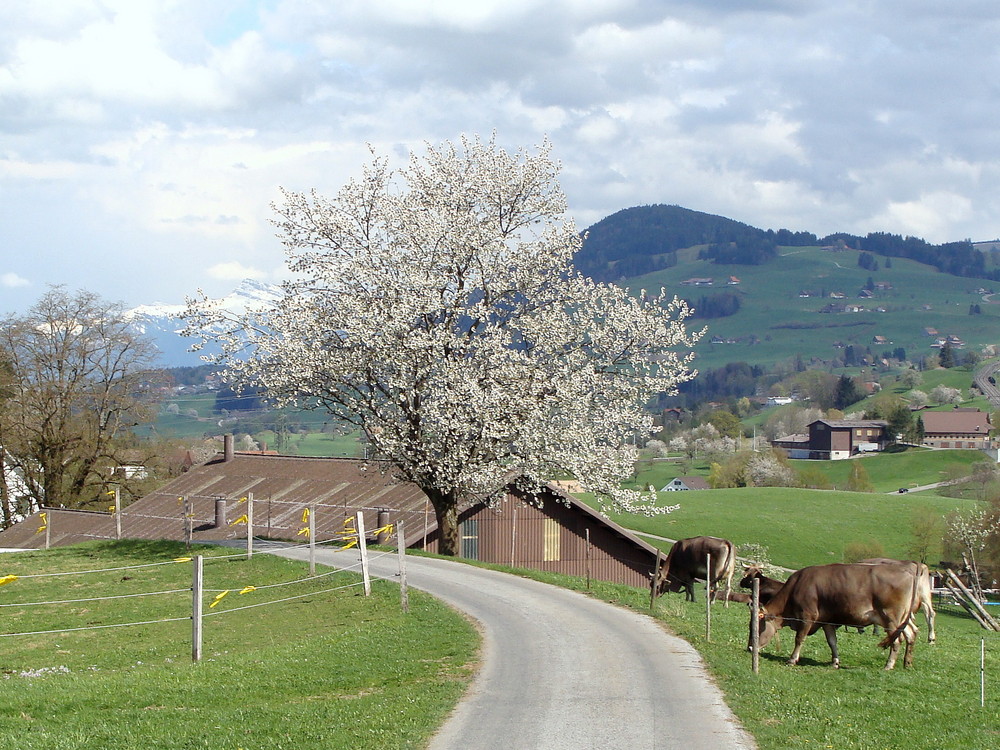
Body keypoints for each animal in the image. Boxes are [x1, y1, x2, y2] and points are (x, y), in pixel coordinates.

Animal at [748, 564, 916, 668]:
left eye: (755, 627)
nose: (750, 648)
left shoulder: (807, 617)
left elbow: (799, 638)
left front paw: (792, 659)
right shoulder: (827, 622)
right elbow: (832, 642)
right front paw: (835, 661)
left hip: (890, 618)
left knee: (897, 641)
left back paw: (888, 665)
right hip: (902, 621)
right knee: (910, 634)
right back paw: (907, 663)